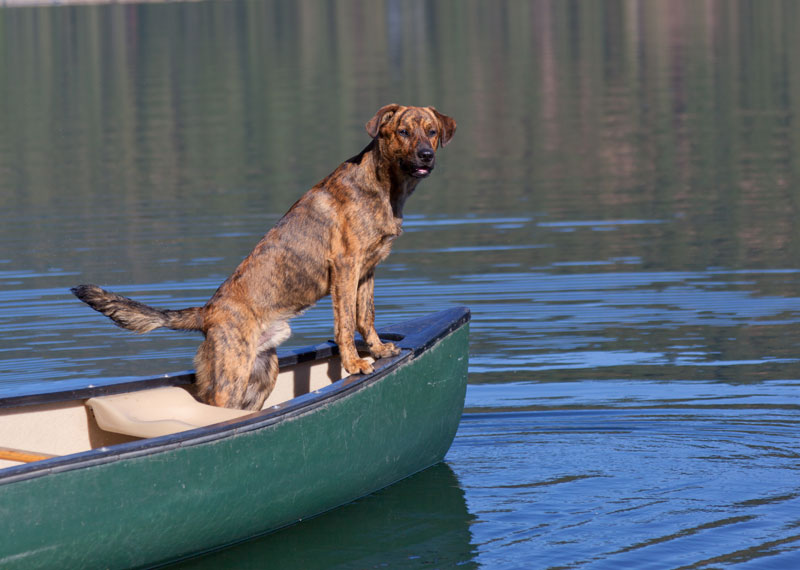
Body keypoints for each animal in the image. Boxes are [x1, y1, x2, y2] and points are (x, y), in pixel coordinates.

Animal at [70, 104, 456, 408]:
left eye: (431, 132)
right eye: (403, 132)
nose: (426, 155)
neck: (383, 184)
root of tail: (207, 313)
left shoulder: (367, 271)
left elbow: (366, 316)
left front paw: (377, 349)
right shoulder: (346, 267)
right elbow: (345, 324)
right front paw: (355, 363)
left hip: (262, 374)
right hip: (231, 379)